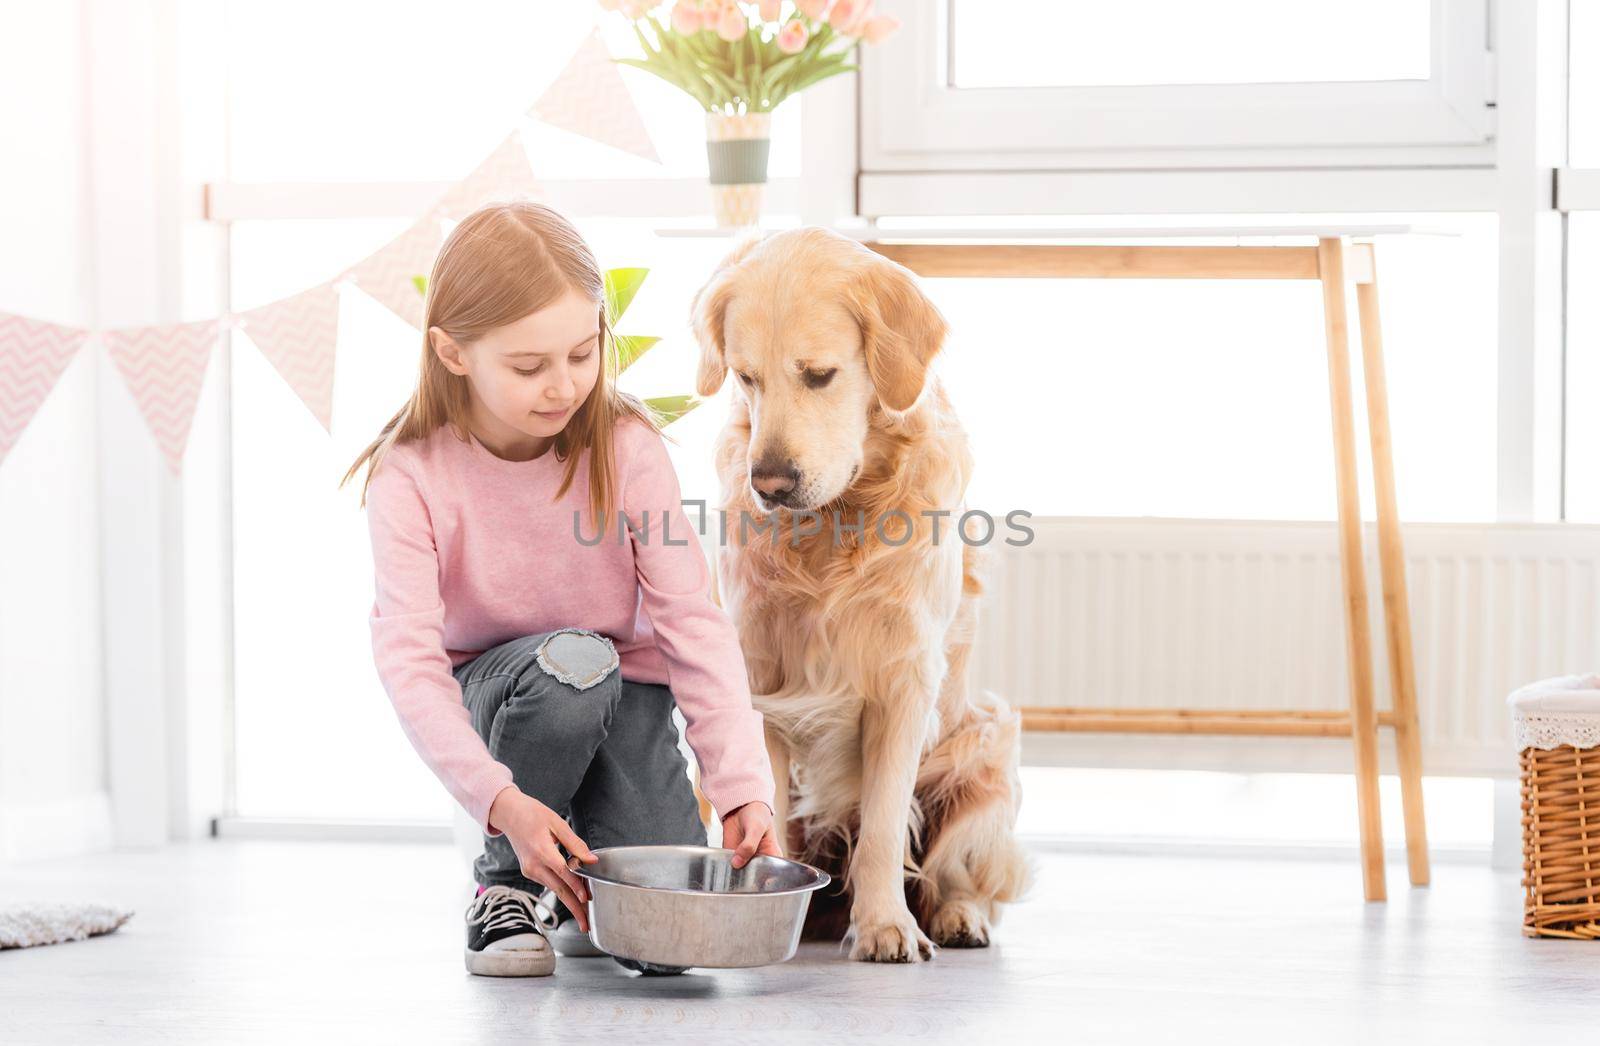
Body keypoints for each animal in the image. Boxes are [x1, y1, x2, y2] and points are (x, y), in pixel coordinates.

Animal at [694, 230, 1030, 966]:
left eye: (820, 375)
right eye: (745, 377)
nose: (770, 484)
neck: (836, 522)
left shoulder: (904, 680)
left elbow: (881, 824)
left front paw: (883, 924)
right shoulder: (755, 674)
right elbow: (762, 813)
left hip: (985, 744)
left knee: (950, 872)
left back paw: (956, 916)